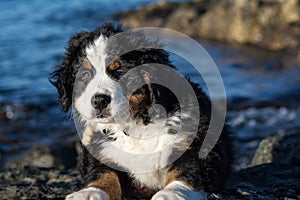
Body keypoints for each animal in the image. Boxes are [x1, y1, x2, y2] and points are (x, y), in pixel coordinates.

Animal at [50, 22, 231, 199]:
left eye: (119, 72)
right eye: (85, 76)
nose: (99, 100)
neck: (136, 126)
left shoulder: (196, 140)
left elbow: (187, 170)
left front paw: (171, 193)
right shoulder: (100, 147)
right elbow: (102, 172)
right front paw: (89, 192)